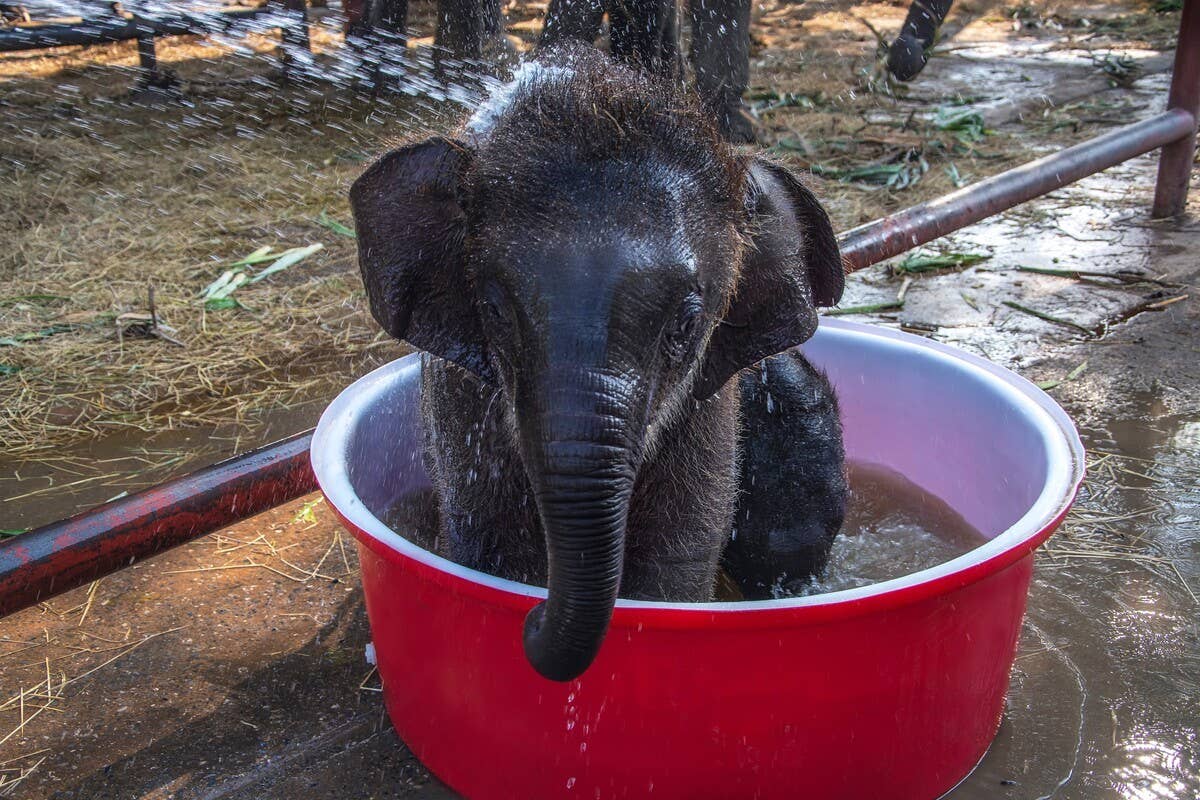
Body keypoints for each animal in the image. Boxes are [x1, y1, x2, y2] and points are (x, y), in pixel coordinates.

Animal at [349, 44, 847, 681]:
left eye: (687, 324)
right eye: (495, 312)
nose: (533, 622)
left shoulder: (708, 411)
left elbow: (675, 557)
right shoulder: (459, 398)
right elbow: (490, 546)